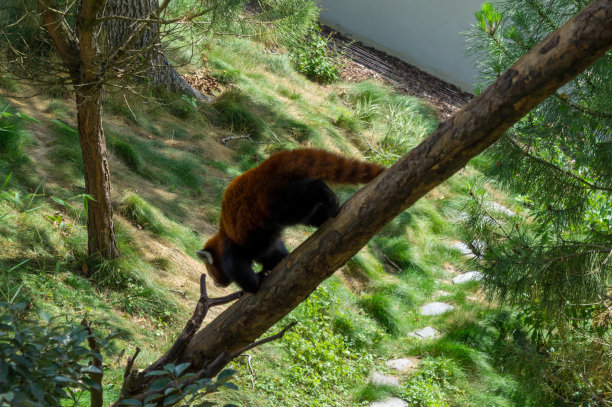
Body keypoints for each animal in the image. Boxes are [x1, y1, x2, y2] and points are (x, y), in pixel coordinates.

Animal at [198, 150, 384, 294]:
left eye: (213, 274)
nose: (215, 284)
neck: (221, 237)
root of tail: (262, 169)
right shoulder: (265, 243)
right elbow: (275, 254)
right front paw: (273, 265)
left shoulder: (233, 249)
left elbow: (242, 273)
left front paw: (254, 282)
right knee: (310, 211)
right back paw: (328, 212)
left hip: (275, 202)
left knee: (308, 193)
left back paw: (327, 194)